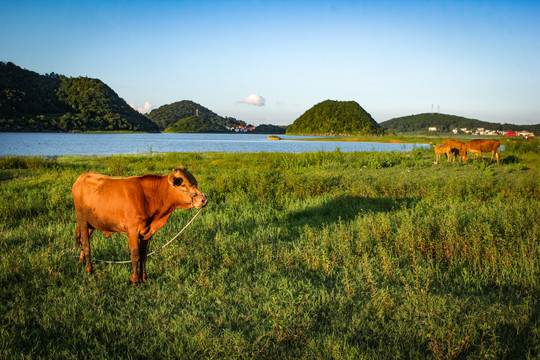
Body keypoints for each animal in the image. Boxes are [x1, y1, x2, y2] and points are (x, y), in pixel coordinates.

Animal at [71, 167, 207, 284]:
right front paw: (135, 280)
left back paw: (81, 261)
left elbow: (143, 256)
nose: (203, 200)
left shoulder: (147, 233)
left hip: (91, 223)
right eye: (183, 185)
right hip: (82, 219)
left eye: (195, 183)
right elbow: (135, 255)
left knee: (83, 241)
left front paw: (144, 279)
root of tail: (82, 177)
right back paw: (89, 270)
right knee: (86, 244)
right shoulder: (132, 231)